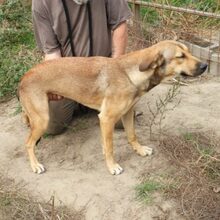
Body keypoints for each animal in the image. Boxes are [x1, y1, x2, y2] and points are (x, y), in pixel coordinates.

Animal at [18, 40, 207, 175]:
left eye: (189, 52)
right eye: (180, 56)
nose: (205, 66)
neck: (130, 74)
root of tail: (24, 76)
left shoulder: (128, 113)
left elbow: (131, 135)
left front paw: (139, 150)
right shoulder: (106, 118)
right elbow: (110, 147)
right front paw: (112, 166)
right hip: (43, 119)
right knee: (28, 143)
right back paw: (35, 165)